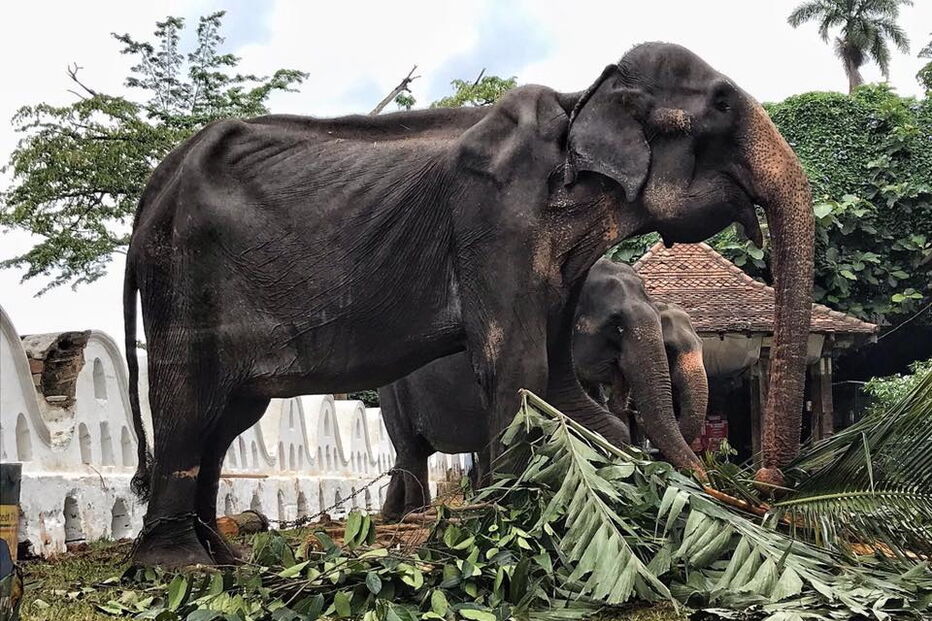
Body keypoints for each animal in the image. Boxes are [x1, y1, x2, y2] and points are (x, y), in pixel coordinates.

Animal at [378, 258, 709, 519]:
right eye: (616, 326)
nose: (707, 483)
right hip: (392, 394)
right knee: (412, 451)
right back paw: (416, 515)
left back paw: (393, 516)